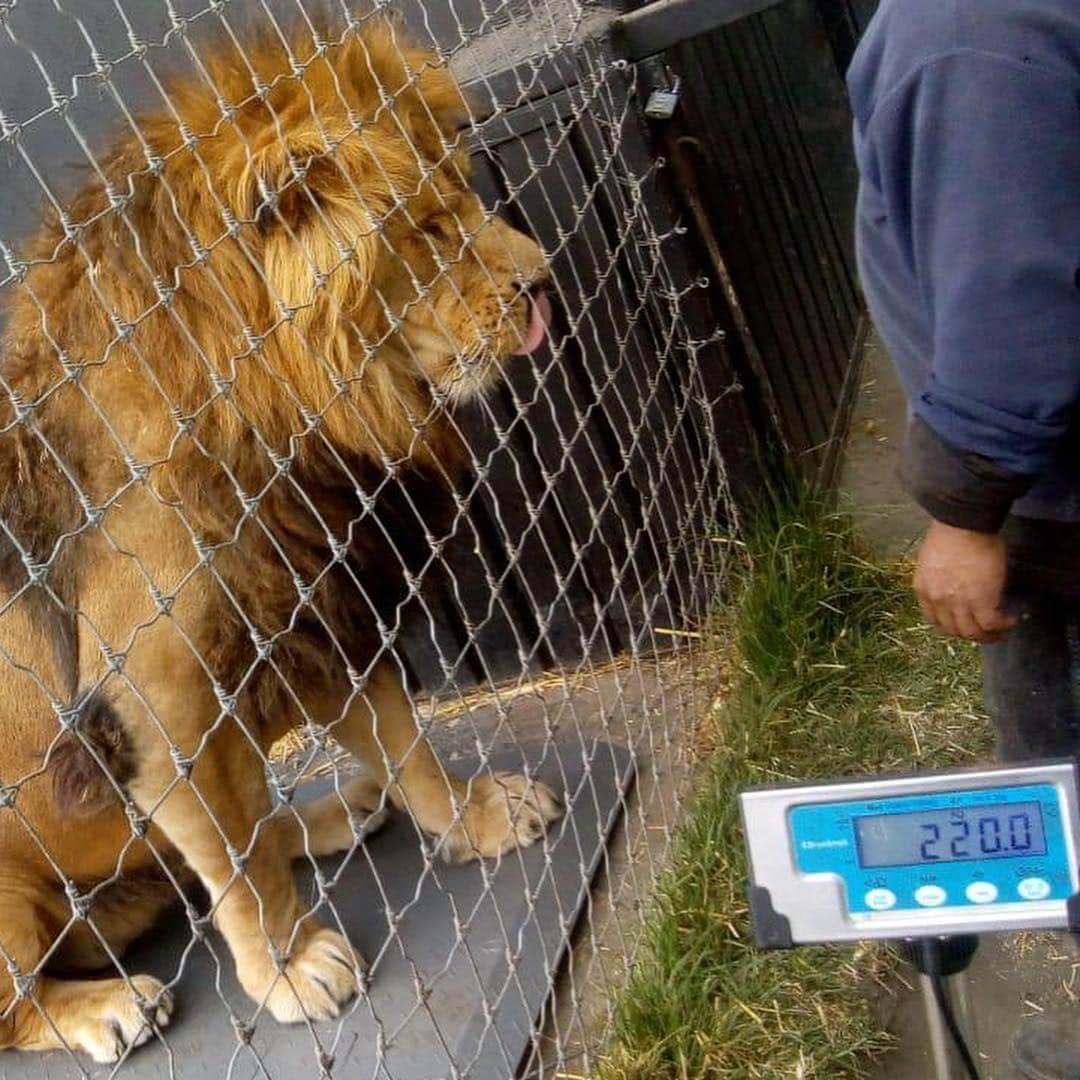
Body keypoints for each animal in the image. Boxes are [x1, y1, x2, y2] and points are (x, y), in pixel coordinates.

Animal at [0, 14, 561, 1062]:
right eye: (422, 231)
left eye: (465, 186)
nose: (544, 283)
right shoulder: (162, 700)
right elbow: (237, 865)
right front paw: (292, 966)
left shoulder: (307, 605)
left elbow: (399, 739)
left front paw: (469, 816)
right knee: (23, 1001)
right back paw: (107, 1004)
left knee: (221, 846)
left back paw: (338, 811)